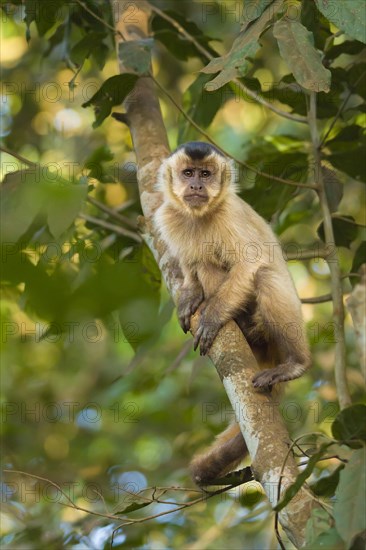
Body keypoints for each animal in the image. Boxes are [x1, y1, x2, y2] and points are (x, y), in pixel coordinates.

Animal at [153, 142, 310, 488]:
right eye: (188, 173)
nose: (196, 186)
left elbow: (250, 264)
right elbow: (189, 267)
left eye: (205, 174)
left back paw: (295, 363)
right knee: (203, 261)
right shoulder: (165, 216)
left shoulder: (230, 215)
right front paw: (190, 295)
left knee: (263, 276)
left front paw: (211, 318)